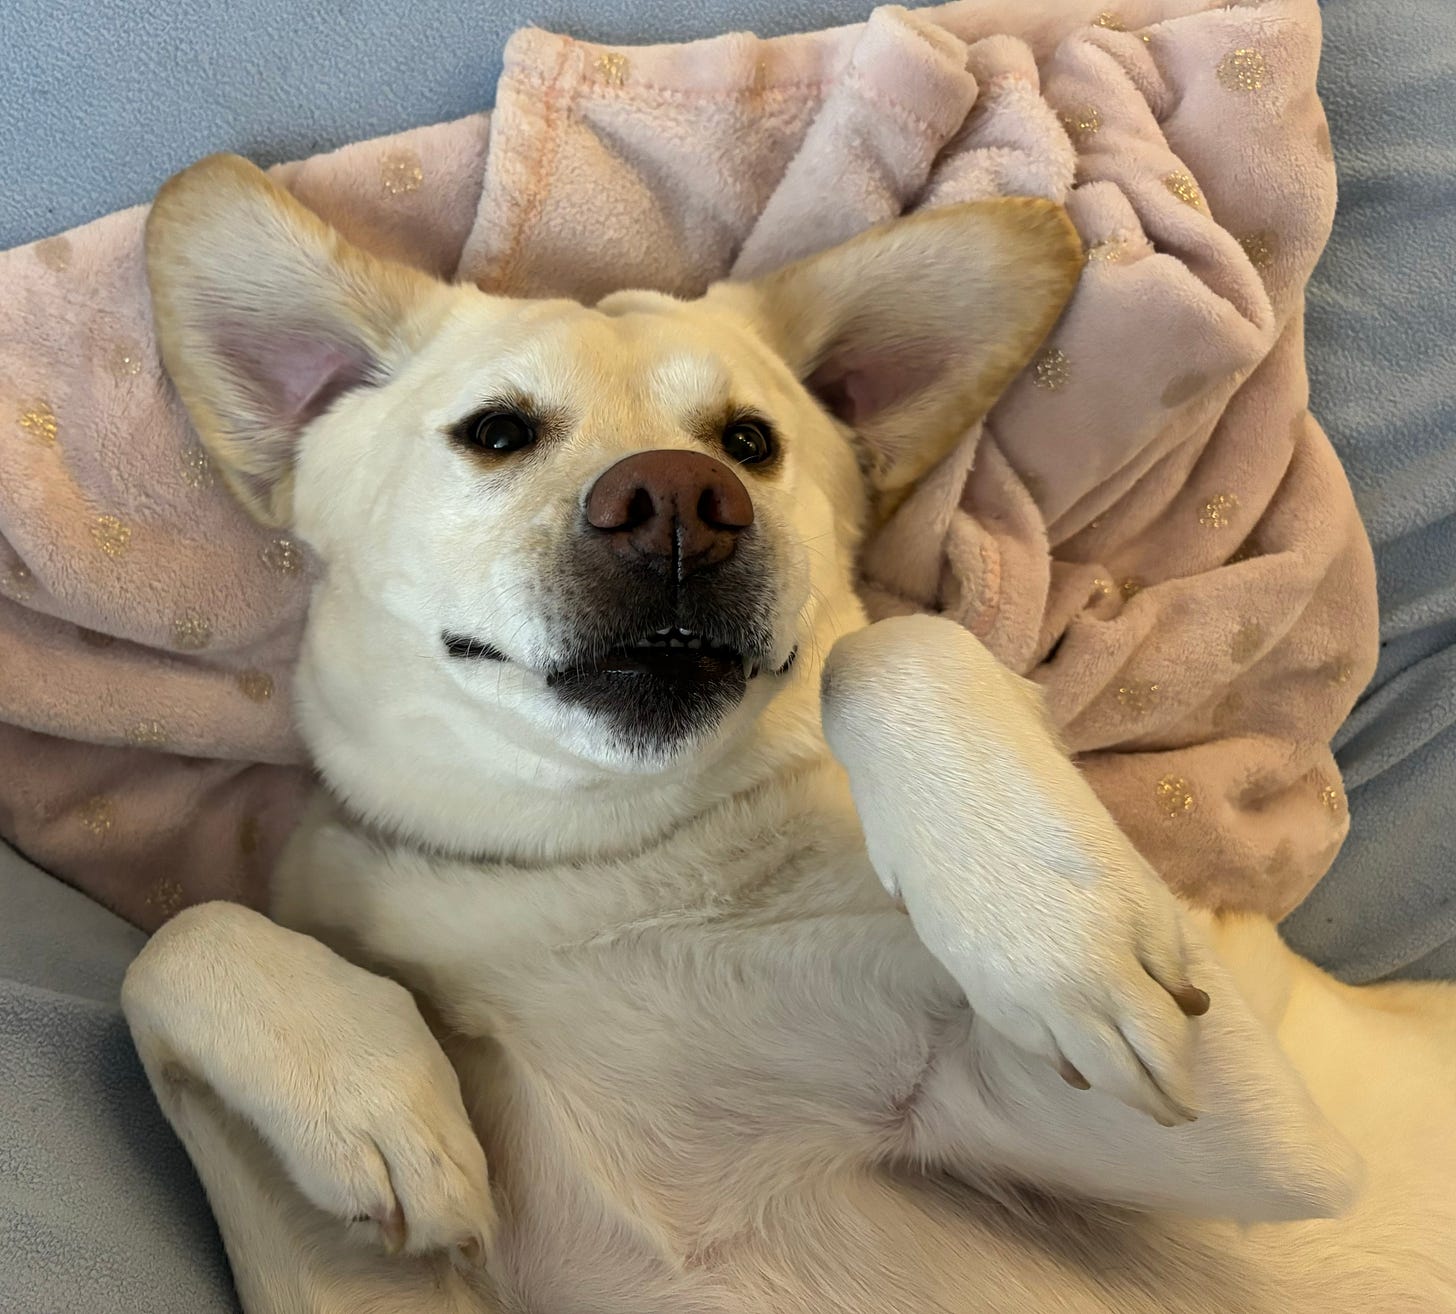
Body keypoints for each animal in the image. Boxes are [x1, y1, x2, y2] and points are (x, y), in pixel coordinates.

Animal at [119, 156, 1456, 1314]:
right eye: (496, 432)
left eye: (749, 443)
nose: (677, 501)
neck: (601, 858)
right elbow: (171, 944)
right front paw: (371, 1093)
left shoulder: (1255, 1141)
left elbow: (886, 643)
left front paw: (1049, 933)